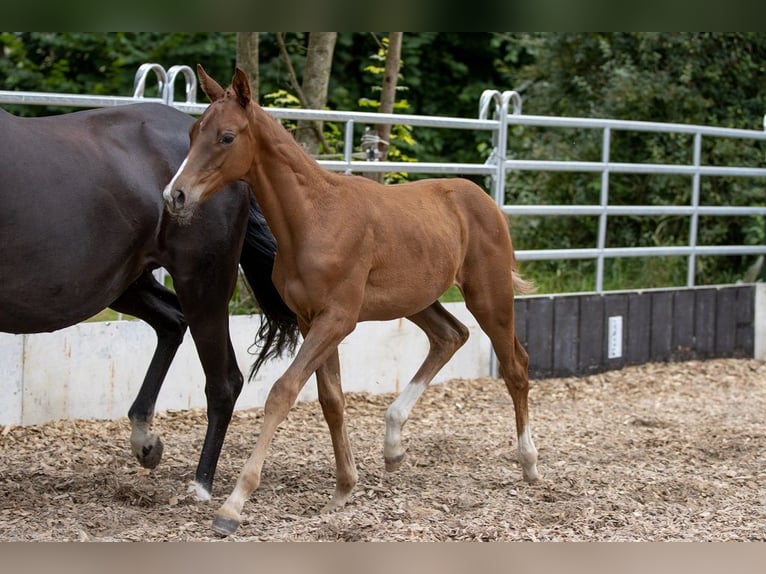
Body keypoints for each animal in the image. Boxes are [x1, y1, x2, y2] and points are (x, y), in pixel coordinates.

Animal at [0, 102, 300, 504]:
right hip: (127, 284)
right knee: (172, 321)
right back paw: (145, 441)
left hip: (201, 283)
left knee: (223, 380)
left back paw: (201, 485)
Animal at [166, 67, 544, 540]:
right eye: (193, 132)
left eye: (227, 137)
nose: (175, 196)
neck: (314, 217)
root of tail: (485, 200)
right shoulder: (310, 320)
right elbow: (331, 400)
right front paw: (344, 488)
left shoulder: (338, 320)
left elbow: (283, 391)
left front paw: (233, 506)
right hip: (417, 299)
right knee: (450, 336)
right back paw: (393, 444)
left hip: (488, 295)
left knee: (515, 366)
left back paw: (529, 464)